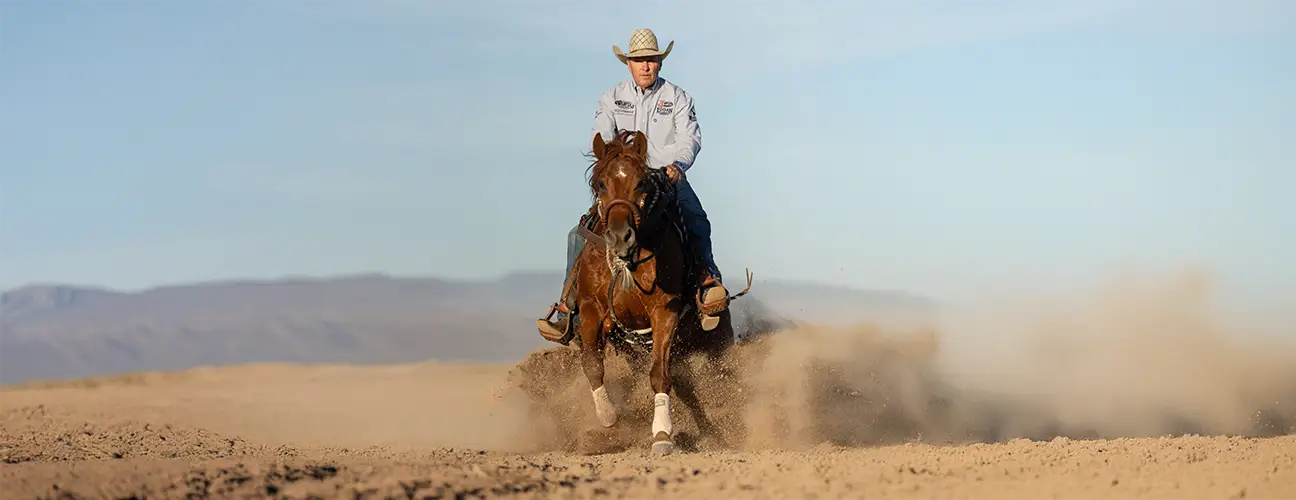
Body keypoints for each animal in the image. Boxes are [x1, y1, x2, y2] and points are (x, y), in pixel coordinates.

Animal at [556, 130, 752, 455]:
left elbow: (660, 374)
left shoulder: (665, 310)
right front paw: (608, 417)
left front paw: (661, 435)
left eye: (641, 182)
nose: (620, 236)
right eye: (600, 183)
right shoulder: (591, 309)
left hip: (715, 341)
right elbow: (592, 365)